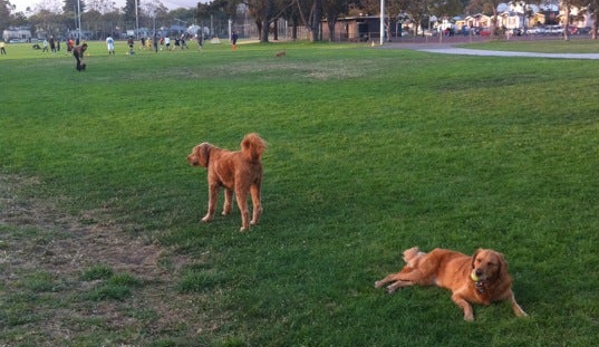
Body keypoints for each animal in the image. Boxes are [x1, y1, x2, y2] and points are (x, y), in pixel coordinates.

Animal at [376, 247, 528, 324]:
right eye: (478, 260)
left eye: (491, 263)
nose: (477, 272)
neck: (487, 288)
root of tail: (432, 250)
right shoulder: (457, 295)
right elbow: (468, 304)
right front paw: (469, 317)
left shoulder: (508, 293)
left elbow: (515, 303)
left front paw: (523, 314)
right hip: (420, 275)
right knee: (393, 275)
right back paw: (380, 283)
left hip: (423, 280)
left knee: (402, 280)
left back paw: (392, 287)